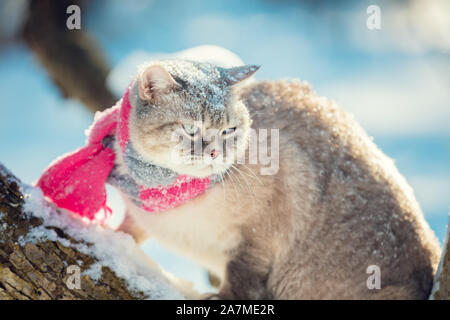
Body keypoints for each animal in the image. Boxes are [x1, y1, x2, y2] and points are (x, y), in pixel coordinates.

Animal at [111, 59, 440, 300]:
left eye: (229, 130)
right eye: (191, 129)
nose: (215, 152)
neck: (166, 188)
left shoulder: (260, 234)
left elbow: (241, 278)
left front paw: (220, 297)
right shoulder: (140, 217)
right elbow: (126, 233)